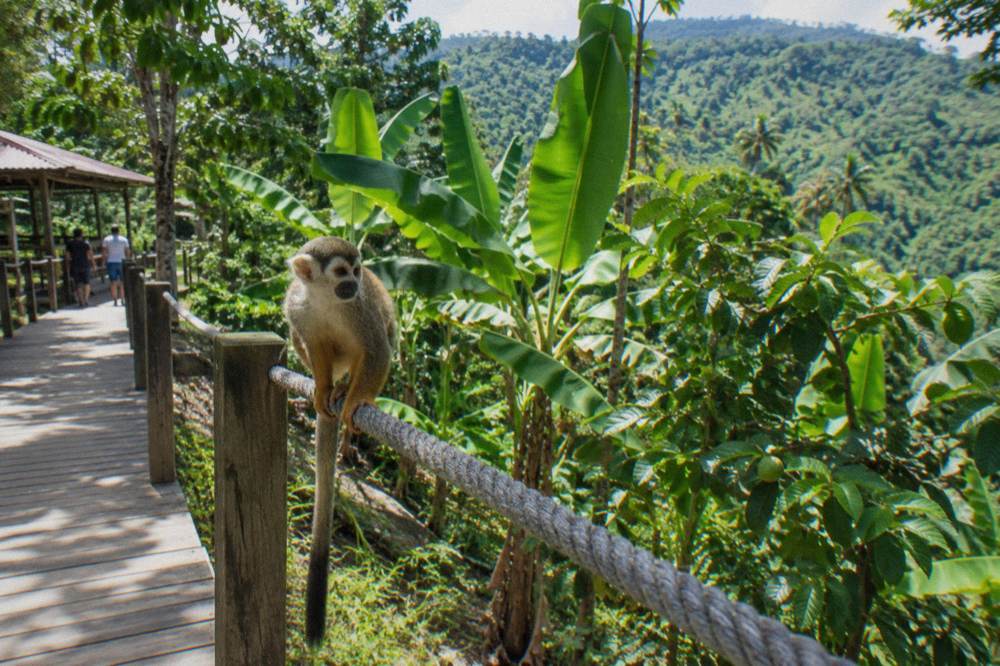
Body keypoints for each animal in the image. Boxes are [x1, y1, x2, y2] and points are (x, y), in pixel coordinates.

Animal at [283, 236, 396, 647]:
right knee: (302, 340)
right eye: (340, 272)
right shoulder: (297, 305)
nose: (353, 283)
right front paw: (321, 386)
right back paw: (329, 388)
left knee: (384, 339)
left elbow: (378, 349)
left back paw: (348, 394)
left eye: (357, 270)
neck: (325, 299)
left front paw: (354, 403)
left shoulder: (360, 308)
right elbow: (311, 341)